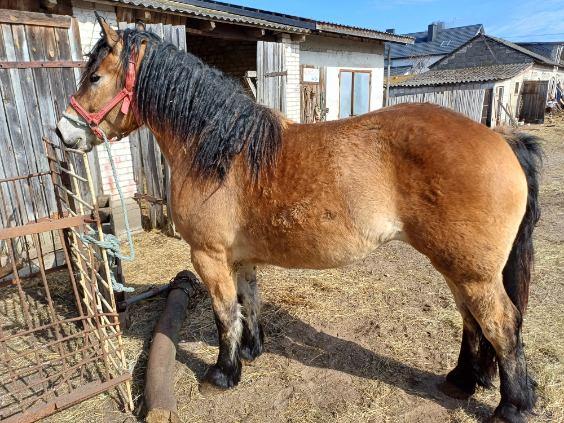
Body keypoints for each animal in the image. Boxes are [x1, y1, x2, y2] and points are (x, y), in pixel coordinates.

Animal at [57, 16, 542, 422]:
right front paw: (251, 352)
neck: (218, 152)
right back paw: (460, 382)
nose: (63, 133)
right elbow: (248, 303)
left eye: (95, 76)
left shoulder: (208, 257)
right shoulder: (239, 258)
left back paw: (512, 407)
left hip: (472, 272)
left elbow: (224, 314)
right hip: (459, 267)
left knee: (502, 324)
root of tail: (500, 138)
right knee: (472, 321)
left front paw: (223, 374)